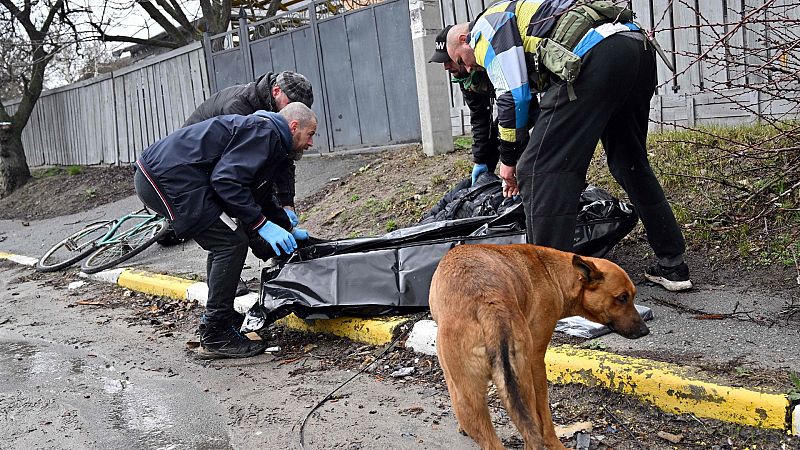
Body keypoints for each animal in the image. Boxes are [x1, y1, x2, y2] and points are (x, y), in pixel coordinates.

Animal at [428, 244, 648, 448]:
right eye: (622, 297)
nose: (645, 331)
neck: (554, 274)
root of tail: (489, 305)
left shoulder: (536, 360)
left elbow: (544, 413)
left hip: (474, 396)